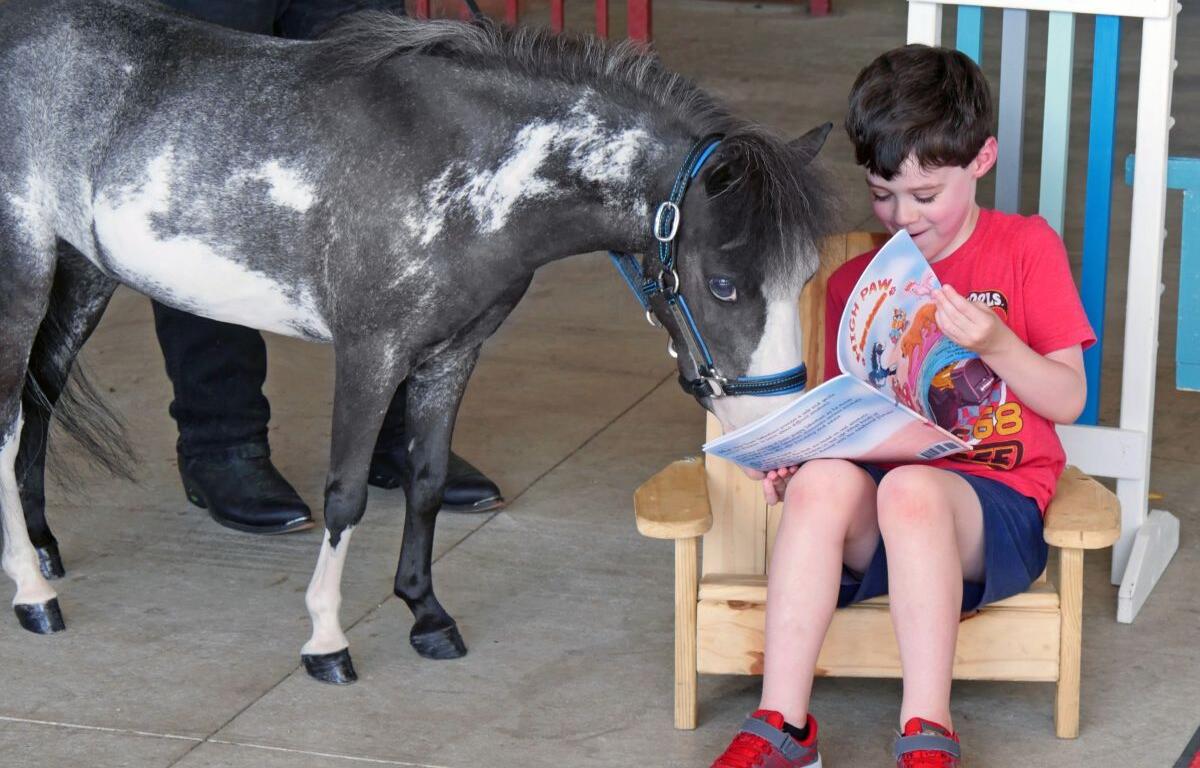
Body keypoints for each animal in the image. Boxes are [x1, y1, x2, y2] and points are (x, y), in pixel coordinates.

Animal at [0, 0, 835, 683]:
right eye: (723, 285)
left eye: (804, 276)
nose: (783, 431)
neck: (462, 169)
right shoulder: (371, 355)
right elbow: (343, 495)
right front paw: (327, 641)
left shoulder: (451, 356)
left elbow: (426, 480)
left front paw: (426, 616)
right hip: (24, 278)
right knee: (8, 422)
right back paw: (34, 596)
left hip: (83, 276)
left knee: (39, 400)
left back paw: (40, 551)